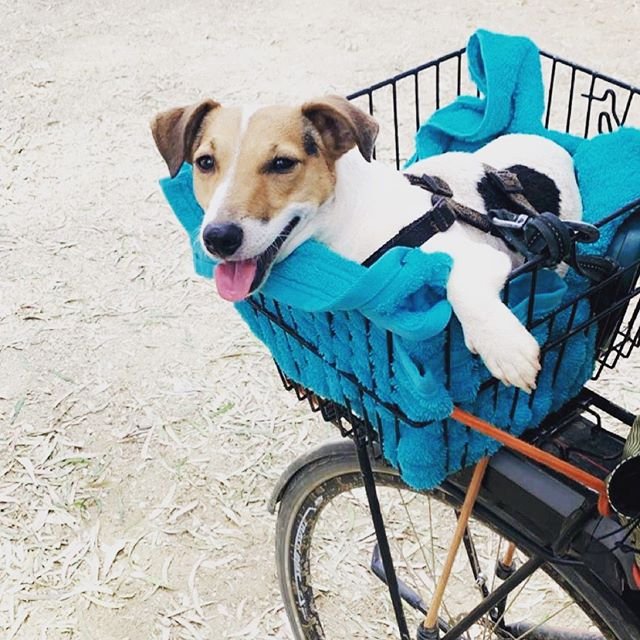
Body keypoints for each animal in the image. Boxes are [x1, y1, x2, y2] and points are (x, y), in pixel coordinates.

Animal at [152, 97, 584, 392]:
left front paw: (504, 346)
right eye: (205, 162)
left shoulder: (476, 255)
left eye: (282, 164)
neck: (346, 226)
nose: (218, 238)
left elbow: (464, 287)